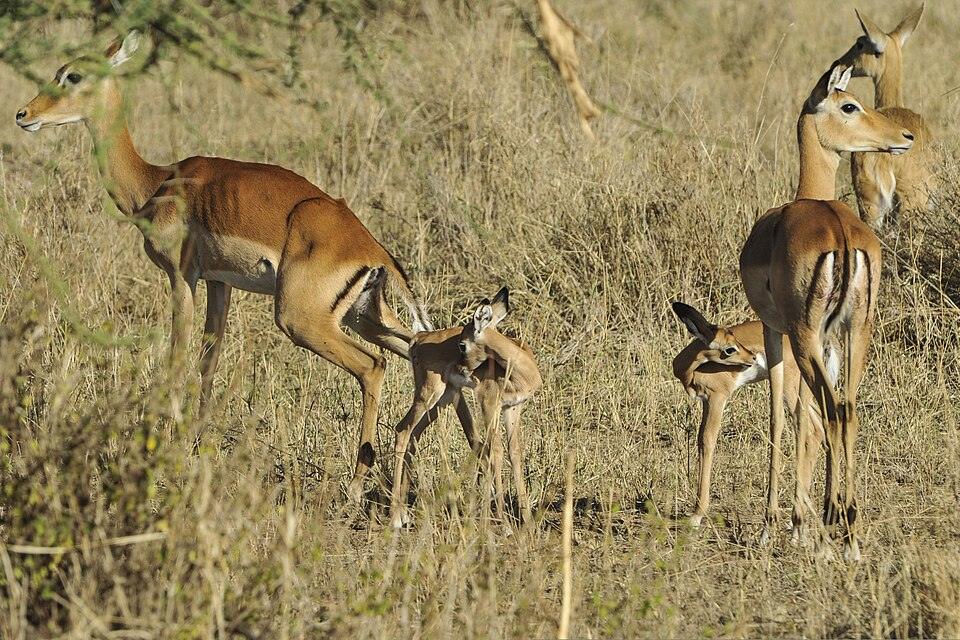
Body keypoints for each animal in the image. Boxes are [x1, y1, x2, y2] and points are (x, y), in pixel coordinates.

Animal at [15, 31, 433, 502]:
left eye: (72, 75)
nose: (23, 114)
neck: (155, 183)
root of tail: (371, 250)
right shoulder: (220, 284)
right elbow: (207, 362)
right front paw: (197, 446)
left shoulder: (181, 278)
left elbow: (177, 358)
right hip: (365, 318)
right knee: (423, 353)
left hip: (301, 320)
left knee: (373, 367)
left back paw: (357, 483)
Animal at [389, 288, 542, 530]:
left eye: (462, 344)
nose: (462, 368)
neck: (521, 370)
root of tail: (418, 338)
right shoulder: (489, 403)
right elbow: (495, 450)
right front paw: (505, 524)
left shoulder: (513, 408)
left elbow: (515, 453)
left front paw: (526, 522)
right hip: (428, 394)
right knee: (403, 430)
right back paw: (395, 517)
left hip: (443, 399)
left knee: (414, 434)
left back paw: (404, 514)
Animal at [670, 302, 827, 533]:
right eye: (730, 347)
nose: (752, 358)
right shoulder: (706, 403)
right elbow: (700, 440)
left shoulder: (717, 398)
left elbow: (707, 441)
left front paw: (697, 515)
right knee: (817, 428)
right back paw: (796, 518)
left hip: (789, 387)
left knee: (811, 429)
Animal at [740, 63, 913, 560]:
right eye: (849, 105)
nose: (905, 136)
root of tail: (840, 232)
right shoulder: (829, 337)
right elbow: (806, 416)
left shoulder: (776, 329)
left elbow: (783, 416)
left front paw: (780, 525)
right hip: (857, 331)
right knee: (847, 409)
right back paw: (849, 530)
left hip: (805, 335)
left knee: (829, 409)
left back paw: (833, 522)